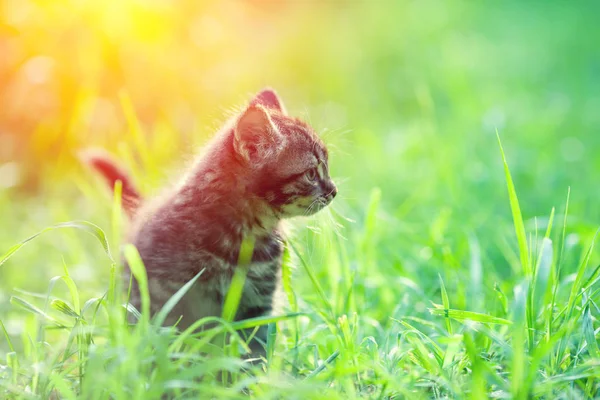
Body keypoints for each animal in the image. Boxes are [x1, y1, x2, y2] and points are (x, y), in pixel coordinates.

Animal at [82, 90, 338, 354]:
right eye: (311, 174)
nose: (334, 191)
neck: (244, 235)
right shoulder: (167, 296)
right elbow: (172, 343)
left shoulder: (259, 302)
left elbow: (255, 347)